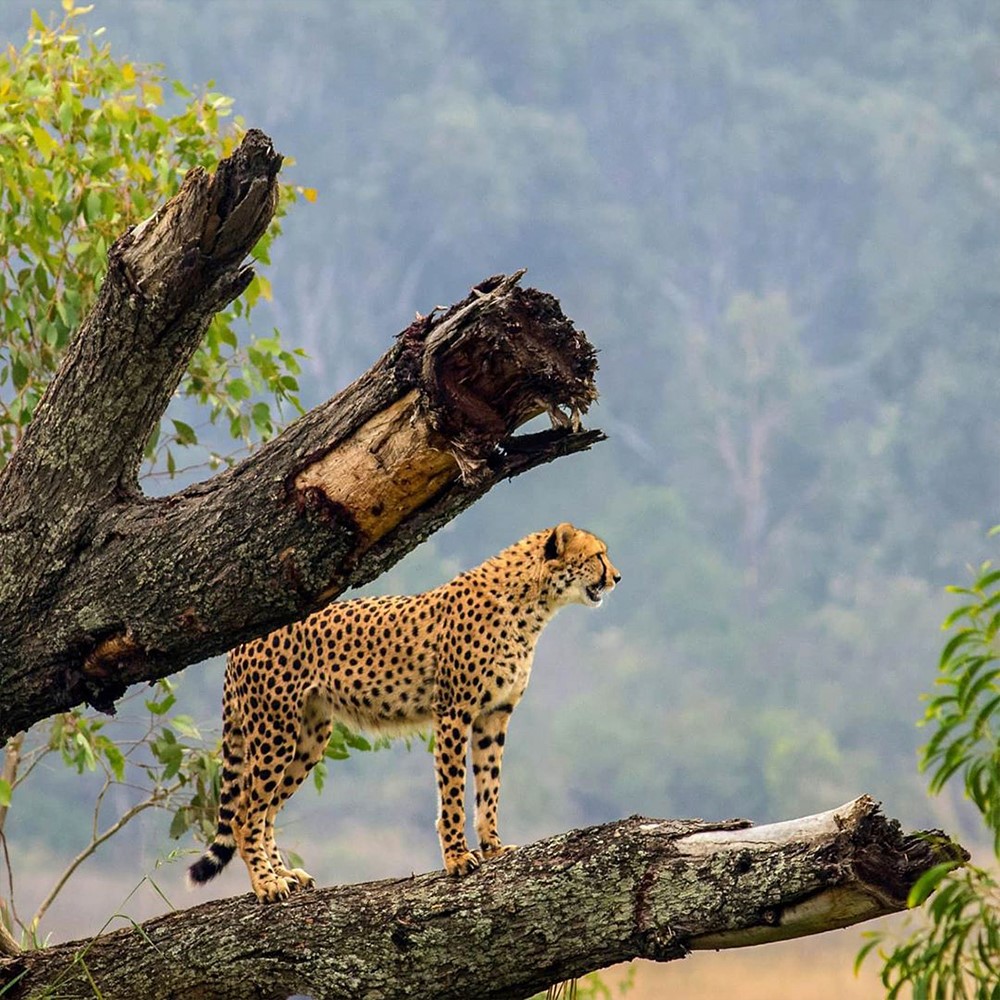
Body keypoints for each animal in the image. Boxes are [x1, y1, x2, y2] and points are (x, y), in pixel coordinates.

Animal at [188, 524, 616, 900]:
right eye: (598, 555)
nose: (617, 577)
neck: (531, 603)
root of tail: (242, 640)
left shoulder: (494, 714)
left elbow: (489, 786)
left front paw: (493, 846)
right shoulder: (454, 711)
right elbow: (453, 791)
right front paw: (457, 858)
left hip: (308, 737)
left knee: (266, 812)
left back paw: (284, 874)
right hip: (274, 730)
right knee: (245, 814)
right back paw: (267, 884)